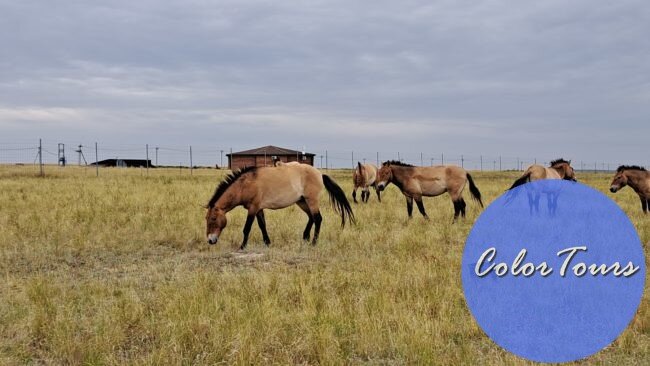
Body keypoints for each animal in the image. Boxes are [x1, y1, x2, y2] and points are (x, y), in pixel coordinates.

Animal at [204, 164, 352, 250]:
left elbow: (247, 228)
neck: (245, 185)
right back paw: (305, 237)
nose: (210, 240)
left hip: (311, 201)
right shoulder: (259, 209)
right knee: (311, 218)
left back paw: (313, 242)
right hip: (302, 202)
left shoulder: (253, 208)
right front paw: (267, 242)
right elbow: (262, 225)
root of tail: (320, 174)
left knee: (318, 219)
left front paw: (242, 246)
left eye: (213, 218)